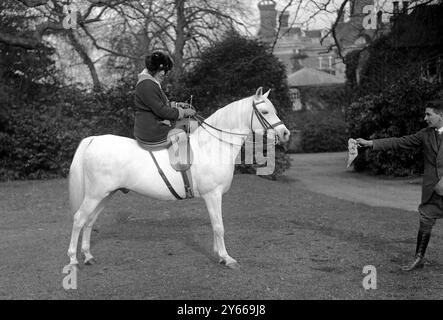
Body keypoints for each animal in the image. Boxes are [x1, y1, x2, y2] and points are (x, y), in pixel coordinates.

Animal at [67, 87, 292, 270]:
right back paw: (73, 260)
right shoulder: (213, 195)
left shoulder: (213, 197)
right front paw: (227, 258)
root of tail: (94, 140)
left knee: (89, 221)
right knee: (78, 219)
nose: (285, 133)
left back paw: (88, 256)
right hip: (96, 195)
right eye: (265, 112)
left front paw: (219, 255)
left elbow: (215, 224)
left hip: (106, 194)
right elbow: (219, 226)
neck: (213, 146)